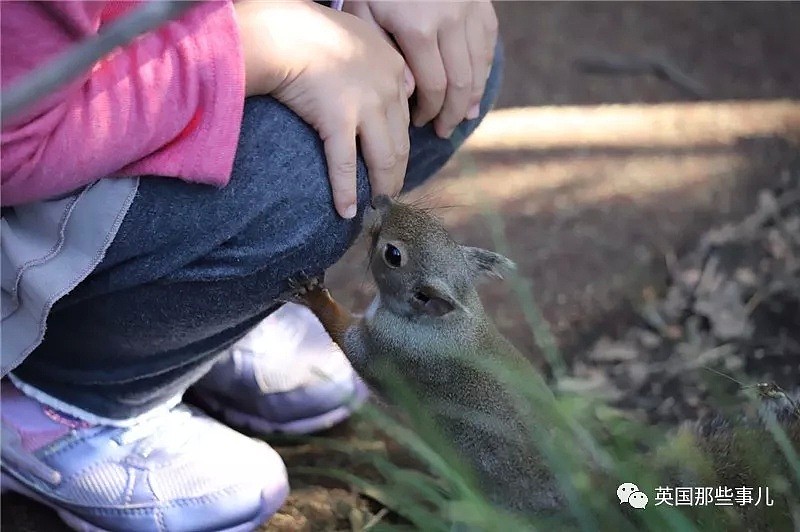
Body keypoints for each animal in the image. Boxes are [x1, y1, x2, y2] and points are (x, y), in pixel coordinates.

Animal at [290, 193, 564, 516]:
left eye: (393, 255)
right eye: (436, 222)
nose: (379, 200)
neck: (440, 323)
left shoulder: (387, 348)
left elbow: (349, 340)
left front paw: (315, 295)